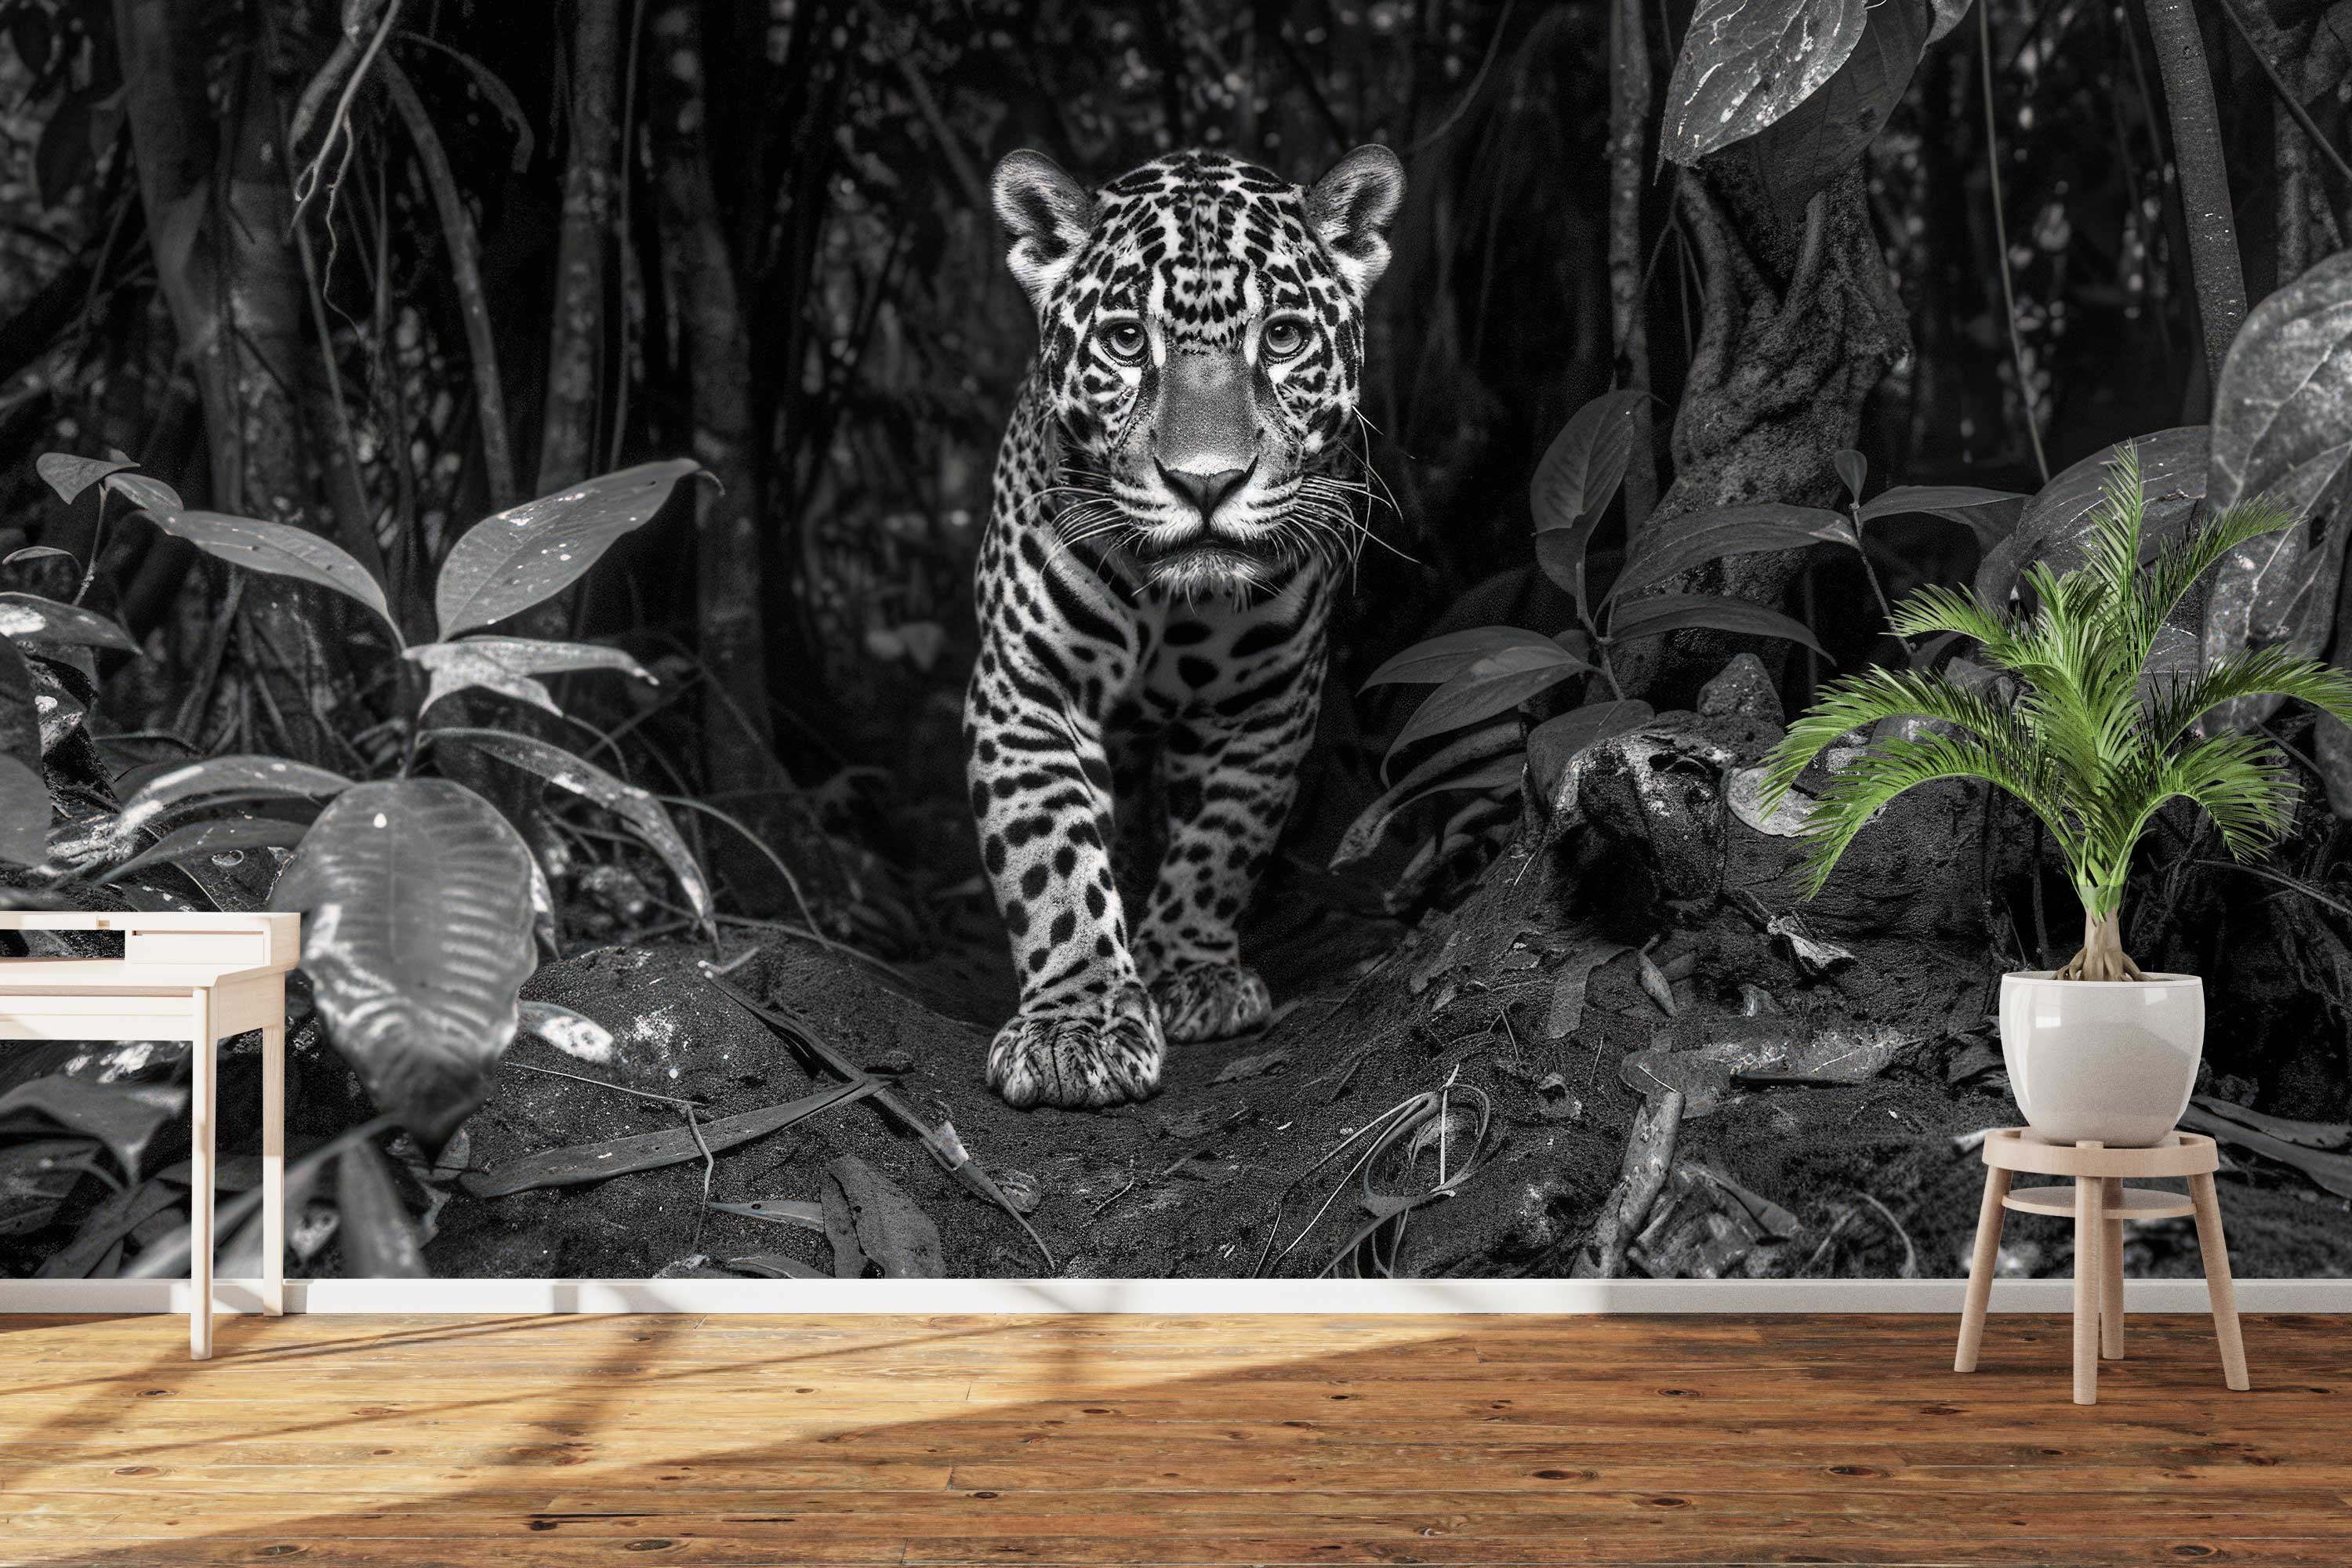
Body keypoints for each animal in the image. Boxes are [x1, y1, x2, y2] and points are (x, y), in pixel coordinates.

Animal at [964, 142, 1405, 1110]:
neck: (1174, 604)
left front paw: (1190, 971)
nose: (1207, 482)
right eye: (1128, 342)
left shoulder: (1268, 701)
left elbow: (1222, 839)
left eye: (1283, 338)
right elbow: (1049, 855)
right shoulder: (1025, 687)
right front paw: (1075, 1024)